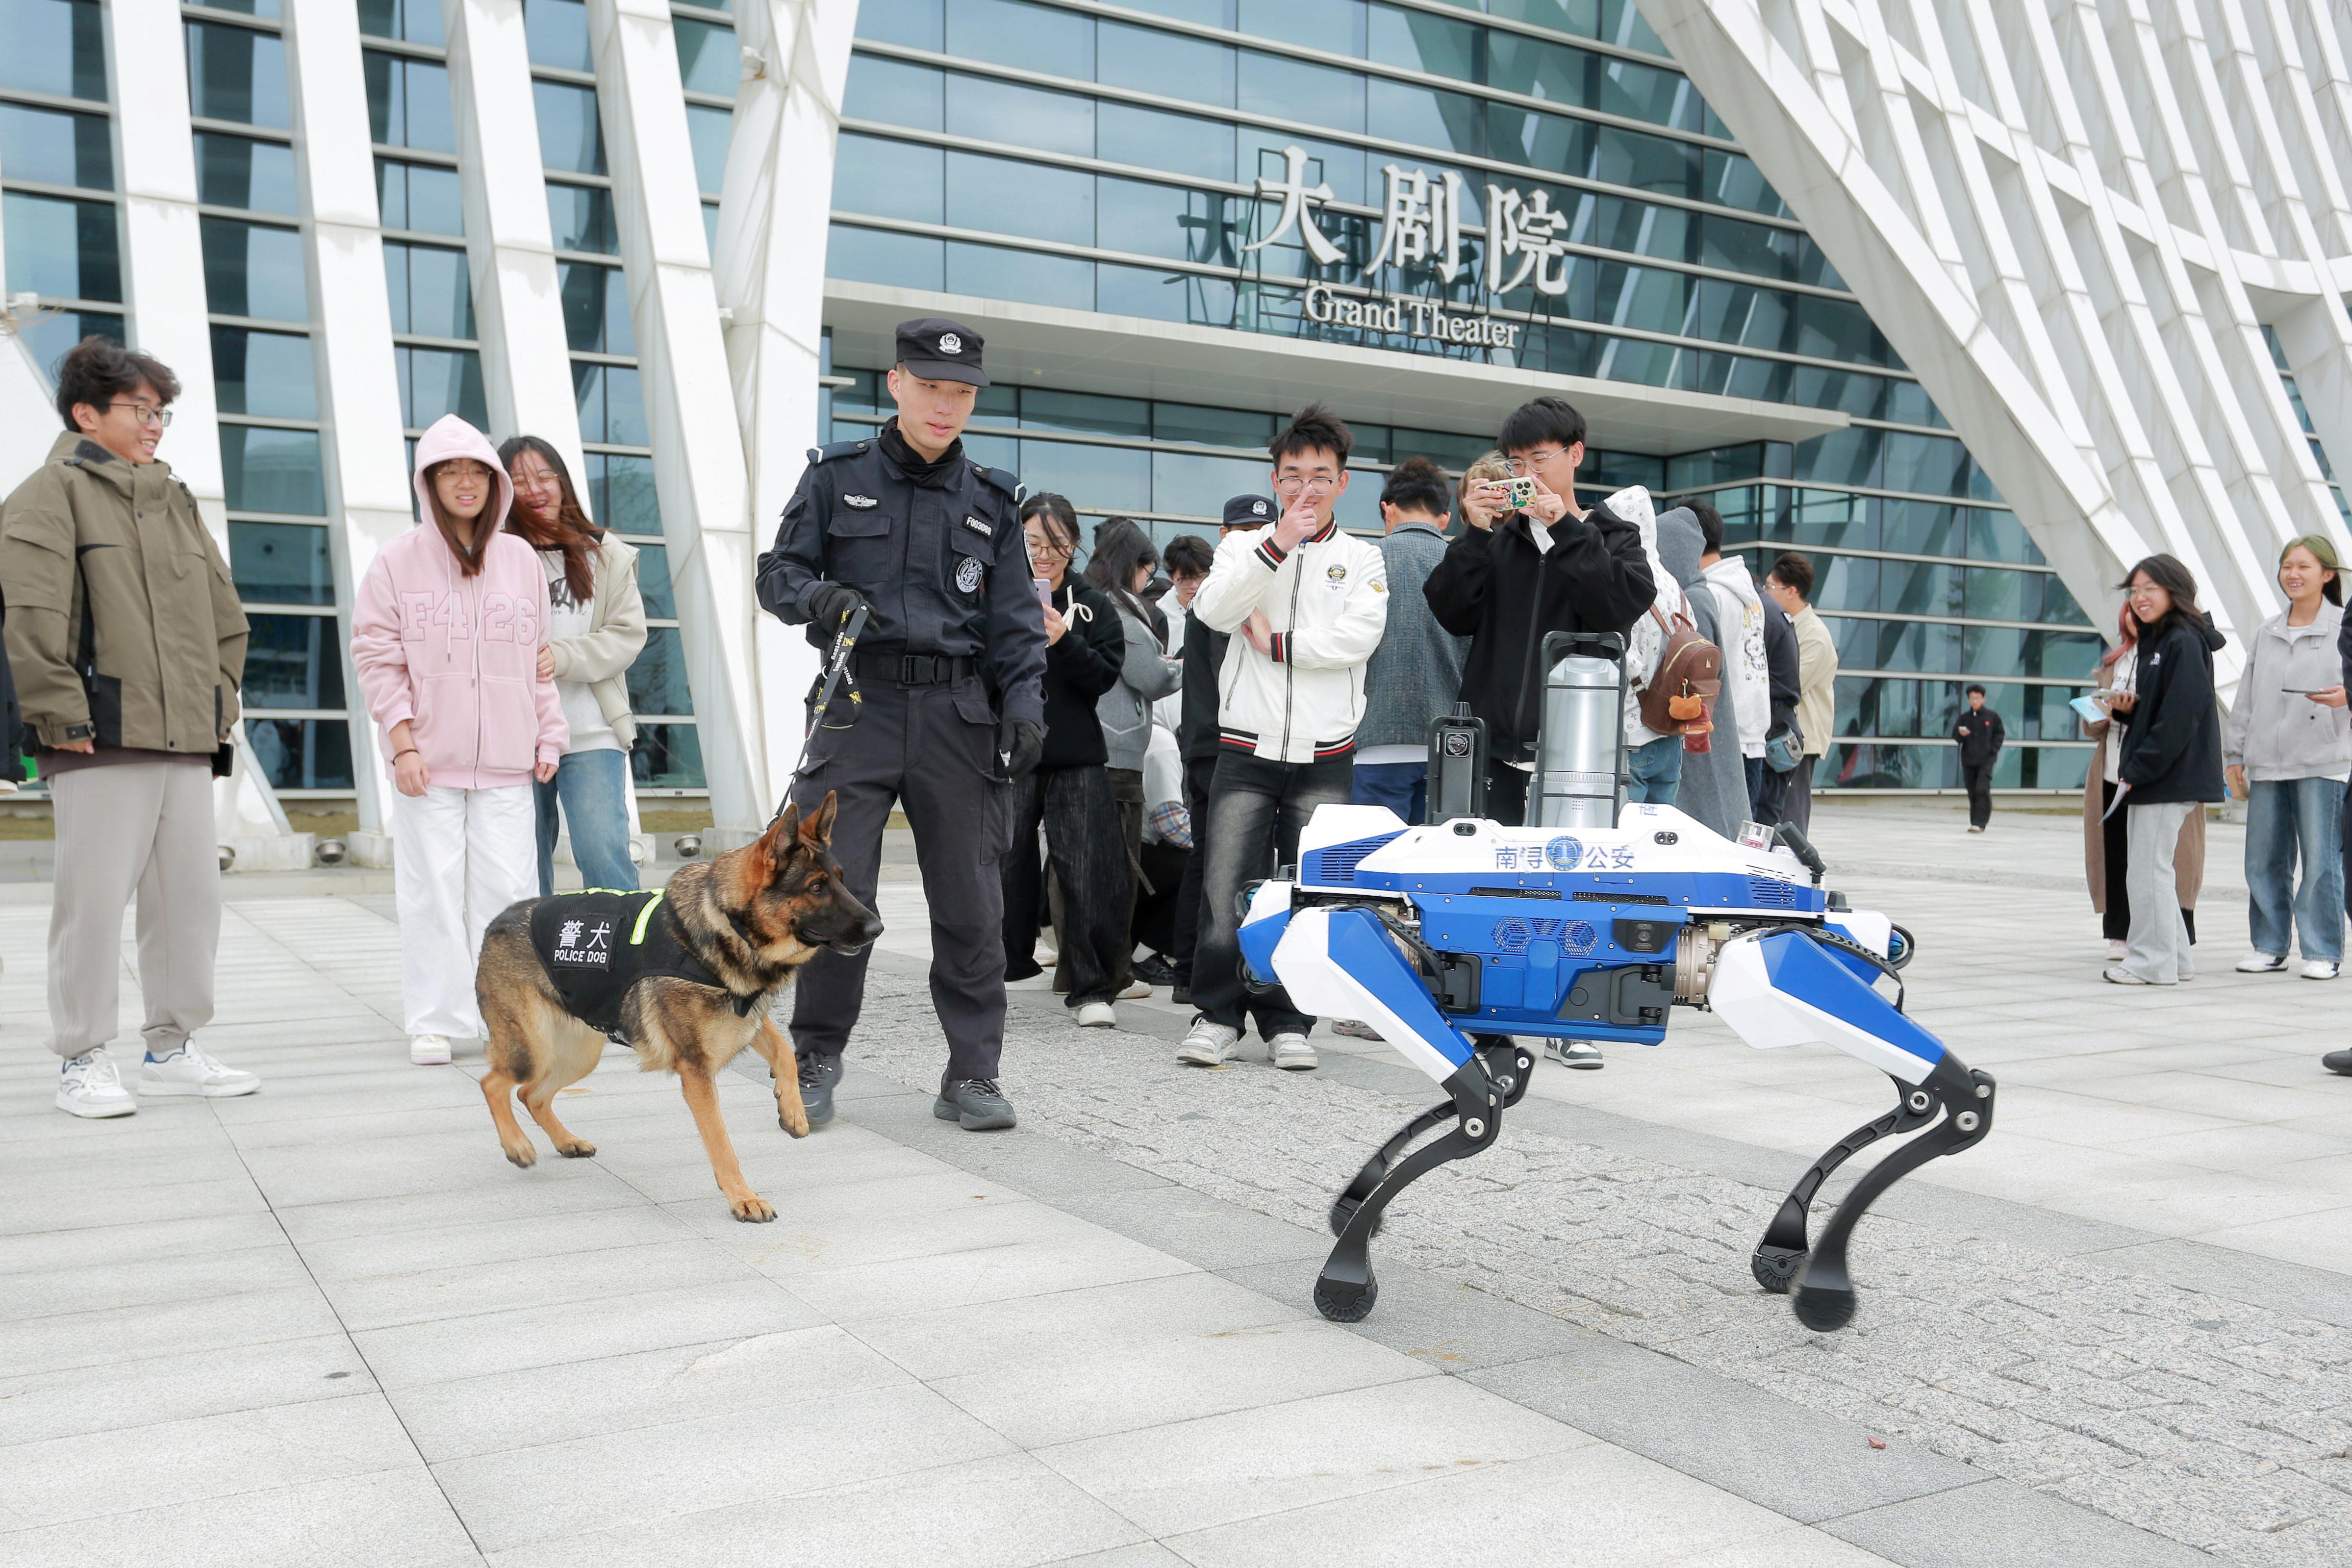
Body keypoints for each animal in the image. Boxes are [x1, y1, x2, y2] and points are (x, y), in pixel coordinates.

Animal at [472, 792, 881, 1222]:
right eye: (817, 887)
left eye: (840, 879)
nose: (878, 928)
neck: (725, 923)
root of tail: (500, 919)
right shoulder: (697, 1070)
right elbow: (721, 1141)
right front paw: (742, 1197)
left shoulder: (746, 1016)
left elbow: (785, 1052)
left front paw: (794, 1110)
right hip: (532, 1053)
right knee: (495, 1084)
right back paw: (517, 1146)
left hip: (578, 1055)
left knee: (530, 1095)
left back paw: (566, 1141)